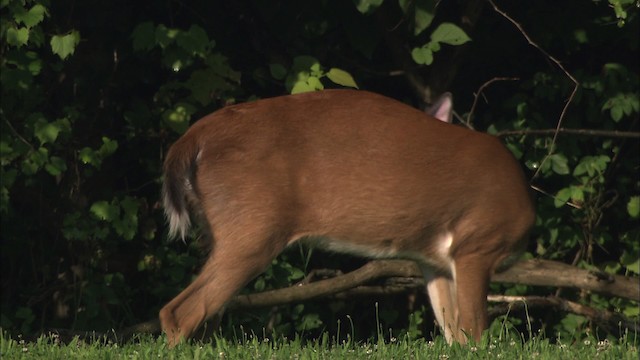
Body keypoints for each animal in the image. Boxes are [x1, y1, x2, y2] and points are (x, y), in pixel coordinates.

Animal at [161, 89, 536, 346]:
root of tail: (192, 138)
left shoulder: (436, 260)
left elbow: (453, 332)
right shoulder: (478, 243)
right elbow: (475, 331)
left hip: (220, 229)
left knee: (204, 314)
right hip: (254, 226)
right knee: (181, 311)